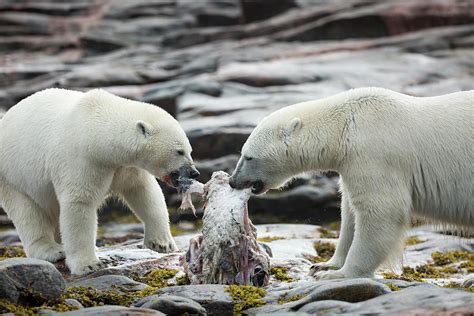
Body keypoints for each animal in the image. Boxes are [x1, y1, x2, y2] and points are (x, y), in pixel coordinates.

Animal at [0, 87, 200, 276]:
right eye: (179, 151)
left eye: (190, 150)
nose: (194, 173)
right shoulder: (81, 161)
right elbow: (79, 203)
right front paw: (87, 265)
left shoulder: (123, 166)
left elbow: (143, 191)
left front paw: (162, 244)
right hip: (14, 177)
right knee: (28, 213)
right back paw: (52, 250)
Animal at [229, 87, 470, 280]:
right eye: (242, 153)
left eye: (248, 156)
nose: (233, 181)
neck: (344, 125)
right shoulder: (350, 163)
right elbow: (350, 214)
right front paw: (324, 265)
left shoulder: (374, 155)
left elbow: (381, 211)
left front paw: (337, 275)